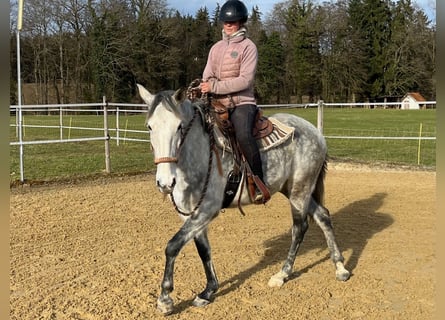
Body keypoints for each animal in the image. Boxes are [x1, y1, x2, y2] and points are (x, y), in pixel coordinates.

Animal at [136, 83, 350, 316]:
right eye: (149, 127)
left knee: (299, 228)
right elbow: (203, 250)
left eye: (179, 126)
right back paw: (340, 267)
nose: (165, 183)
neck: (200, 153)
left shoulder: (207, 210)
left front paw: (165, 299)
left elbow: (172, 246)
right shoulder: (191, 214)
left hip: (299, 192)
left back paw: (282, 274)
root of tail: (315, 132)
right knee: (323, 216)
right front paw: (208, 291)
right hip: (295, 190)